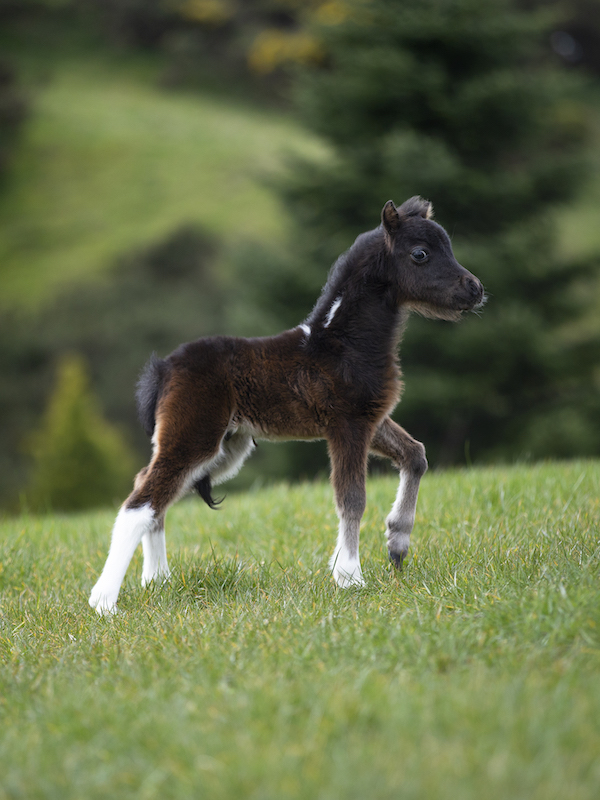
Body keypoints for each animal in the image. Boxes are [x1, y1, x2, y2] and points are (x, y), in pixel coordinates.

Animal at [89, 197, 485, 614]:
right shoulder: (347, 424)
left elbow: (416, 455)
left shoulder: (372, 419)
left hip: (222, 449)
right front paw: (350, 577)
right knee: (140, 503)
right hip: (195, 437)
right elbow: (352, 497)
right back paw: (104, 602)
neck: (342, 343)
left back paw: (157, 579)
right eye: (420, 254)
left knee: (149, 488)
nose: (475, 288)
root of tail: (164, 368)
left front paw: (396, 545)